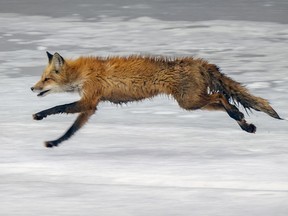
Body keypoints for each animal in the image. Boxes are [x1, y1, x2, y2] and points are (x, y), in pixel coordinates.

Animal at [31, 51, 282, 148]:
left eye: (45, 79)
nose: (32, 88)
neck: (82, 73)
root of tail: (197, 62)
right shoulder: (90, 106)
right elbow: (71, 130)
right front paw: (55, 142)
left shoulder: (89, 100)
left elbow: (58, 107)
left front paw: (40, 116)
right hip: (192, 102)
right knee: (223, 101)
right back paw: (245, 124)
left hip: (189, 102)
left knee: (221, 96)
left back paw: (237, 116)